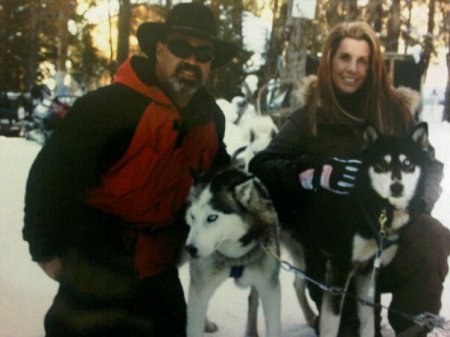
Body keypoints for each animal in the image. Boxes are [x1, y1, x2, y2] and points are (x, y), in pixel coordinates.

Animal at [185, 167, 280, 336]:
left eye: (212, 217)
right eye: (192, 216)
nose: (190, 249)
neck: (235, 256)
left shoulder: (269, 288)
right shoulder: (200, 288)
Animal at [298, 122, 430, 336]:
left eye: (407, 163)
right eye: (382, 164)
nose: (396, 187)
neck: (380, 210)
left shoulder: (369, 270)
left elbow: (368, 319)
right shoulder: (340, 268)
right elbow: (332, 323)